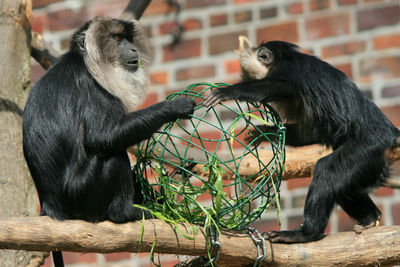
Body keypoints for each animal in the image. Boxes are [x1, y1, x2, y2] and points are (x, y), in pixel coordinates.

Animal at [23, 16, 195, 266]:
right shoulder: (91, 85)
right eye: (117, 38)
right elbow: (103, 137)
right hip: (80, 195)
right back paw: (125, 214)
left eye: (129, 39)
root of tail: (50, 207)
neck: (84, 61)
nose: (132, 49)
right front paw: (174, 107)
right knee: (113, 156)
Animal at [206, 40, 400, 244]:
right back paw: (370, 218)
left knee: (327, 171)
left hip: (366, 147)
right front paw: (265, 132)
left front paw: (229, 91)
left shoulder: (286, 69)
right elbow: (310, 132)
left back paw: (305, 233)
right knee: (347, 187)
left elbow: (284, 86)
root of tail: (390, 133)